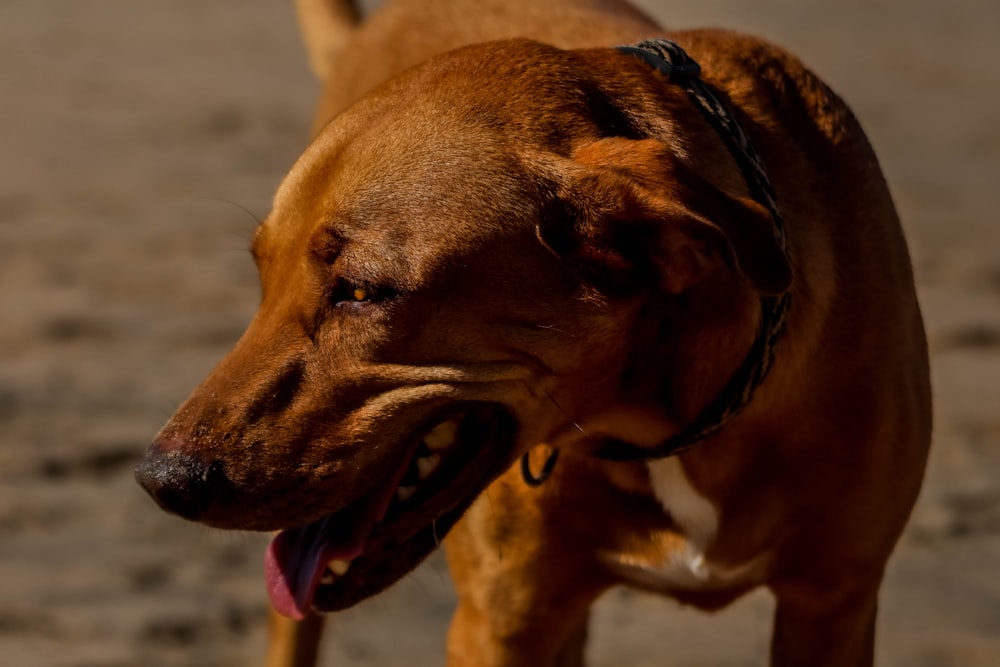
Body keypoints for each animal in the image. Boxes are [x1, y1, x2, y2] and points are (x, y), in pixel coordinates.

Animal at [133, 1, 928, 667]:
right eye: (261, 278)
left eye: (360, 291)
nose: (162, 480)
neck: (661, 421)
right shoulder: (503, 625)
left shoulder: (831, 606)